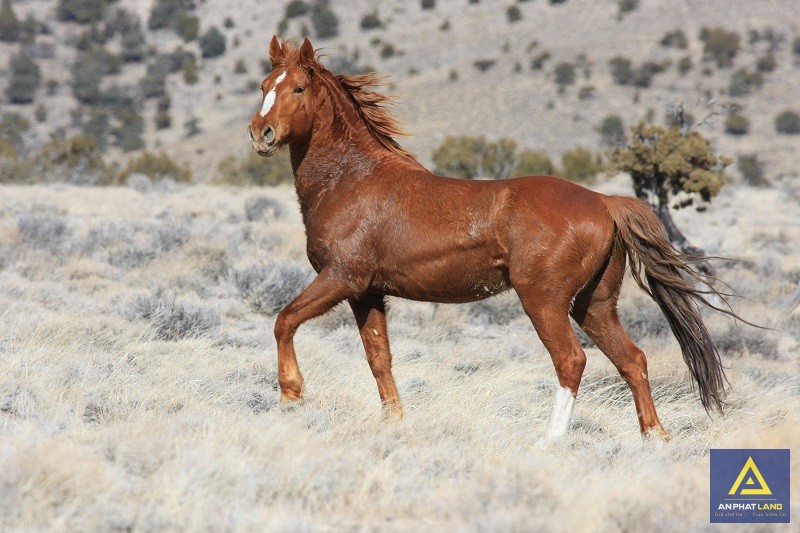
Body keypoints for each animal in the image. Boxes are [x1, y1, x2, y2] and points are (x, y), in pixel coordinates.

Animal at [247, 35, 736, 438]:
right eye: (264, 84)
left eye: (298, 88)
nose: (260, 133)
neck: (351, 180)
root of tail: (603, 201)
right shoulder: (367, 292)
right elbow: (379, 358)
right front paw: (395, 421)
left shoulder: (342, 278)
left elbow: (284, 319)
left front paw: (291, 397)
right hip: (594, 304)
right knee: (632, 360)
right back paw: (655, 437)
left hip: (544, 300)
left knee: (572, 360)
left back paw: (550, 441)